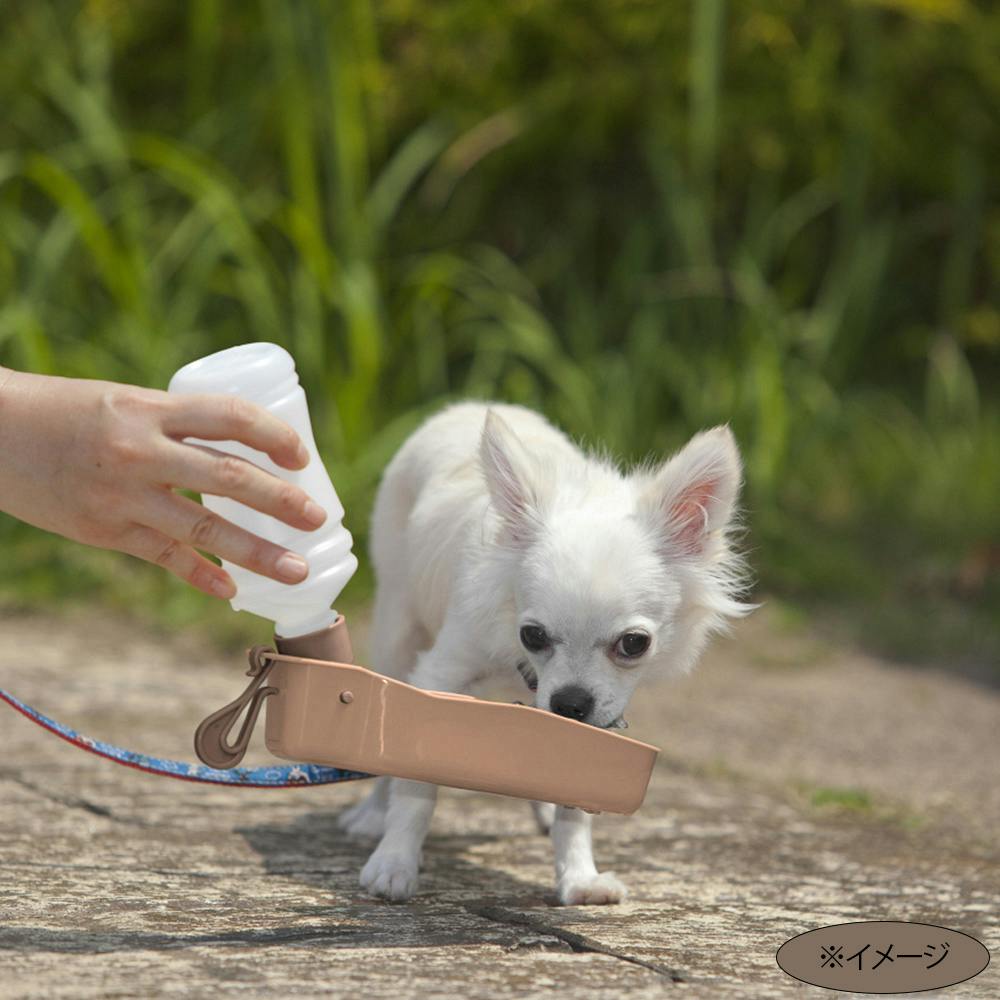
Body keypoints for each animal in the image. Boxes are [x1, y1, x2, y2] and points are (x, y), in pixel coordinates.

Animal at [338, 400, 752, 908]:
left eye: (634, 644)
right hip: (397, 630)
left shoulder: (594, 722)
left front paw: (578, 877)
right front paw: (394, 862)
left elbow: (573, 806)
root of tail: (465, 406)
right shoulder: (439, 677)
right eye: (532, 636)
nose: (570, 702)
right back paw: (373, 815)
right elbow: (415, 782)